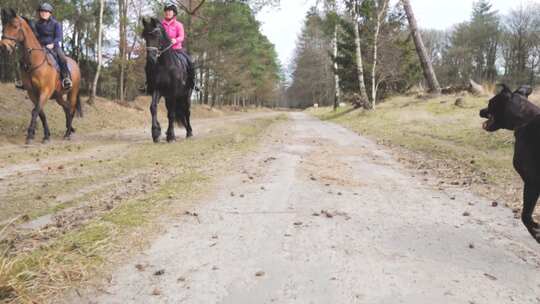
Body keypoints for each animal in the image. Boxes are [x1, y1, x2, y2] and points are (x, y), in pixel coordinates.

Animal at [0, 8, 81, 144]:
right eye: (4, 26)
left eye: (15, 26)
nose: (4, 46)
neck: (34, 61)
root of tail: (75, 64)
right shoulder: (32, 93)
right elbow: (41, 113)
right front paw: (46, 136)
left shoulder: (45, 91)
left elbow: (35, 111)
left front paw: (29, 136)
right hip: (58, 95)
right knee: (66, 108)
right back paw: (68, 131)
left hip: (72, 92)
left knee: (71, 109)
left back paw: (68, 133)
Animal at [480, 85, 540, 242]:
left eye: (490, 102)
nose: (480, 110)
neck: (525, 120)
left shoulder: (532, 182)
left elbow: (525, 216)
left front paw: (535, 232)